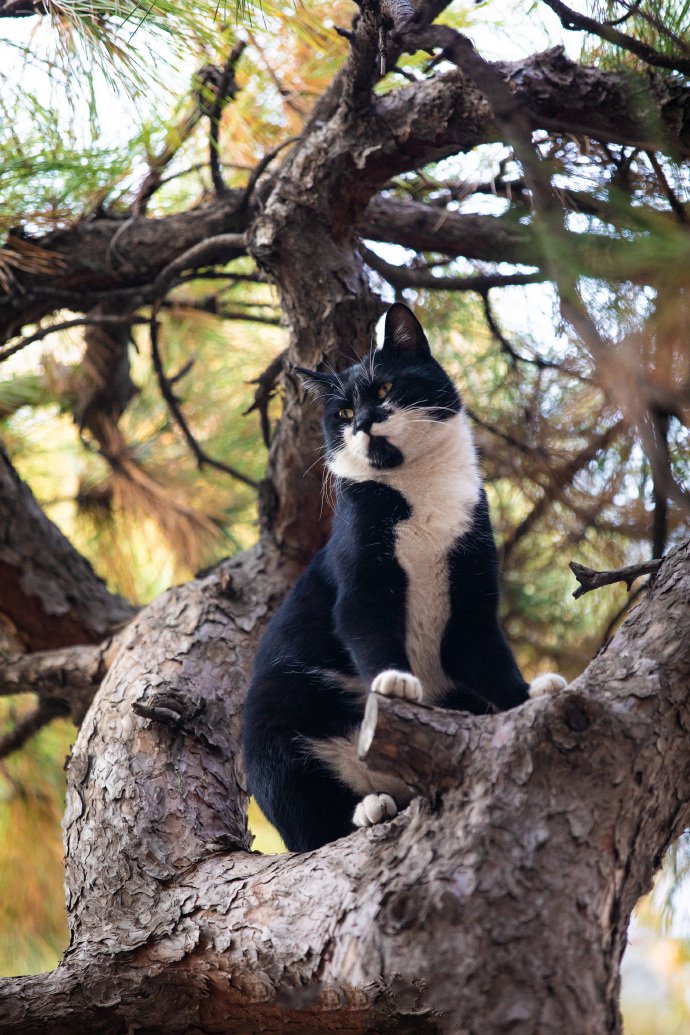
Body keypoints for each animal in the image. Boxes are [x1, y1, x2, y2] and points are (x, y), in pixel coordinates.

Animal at [239, 302, 562, 852]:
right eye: (342, 413)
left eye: (386, 388)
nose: (365, 421)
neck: (420, 494)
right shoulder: (360, 581)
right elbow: (368, 628)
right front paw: (394, 683)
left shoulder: (472, 593)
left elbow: (492, 656)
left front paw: (529, 695)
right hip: (268, 722)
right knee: (311, 825)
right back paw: (368, 808)